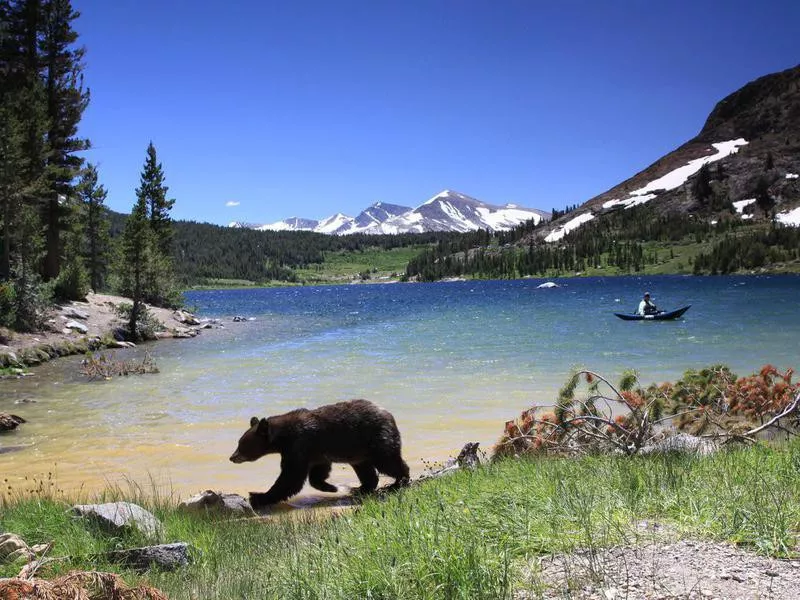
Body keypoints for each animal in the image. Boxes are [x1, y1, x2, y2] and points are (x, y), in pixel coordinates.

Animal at [228, 398, 410, 506]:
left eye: (242, 444)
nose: (232, 457)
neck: (283, 437)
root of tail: (389, 414)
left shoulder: (299, 444)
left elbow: (291, 476)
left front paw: (259, 496)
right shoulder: (315, 452)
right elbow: (317, 472)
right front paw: (332, 487)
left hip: (376, 438)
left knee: (388, 461)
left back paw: (397, 483)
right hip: (359, 452)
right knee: (365, 469)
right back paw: (361, 488)